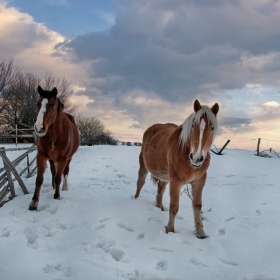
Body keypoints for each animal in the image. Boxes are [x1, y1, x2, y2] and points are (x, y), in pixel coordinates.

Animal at [135, 99, 220, 237]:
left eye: (212, 128)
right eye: (193, 126)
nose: (196, 158)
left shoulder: (199, 181)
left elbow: (197, 205)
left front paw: (201, 233)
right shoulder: (176, 182)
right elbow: (174, 207)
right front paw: (170, 230)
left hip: (164, 176)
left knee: (160, 190)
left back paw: (159, 207)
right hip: (144, 166)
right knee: (140, 183)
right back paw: (135, 200)